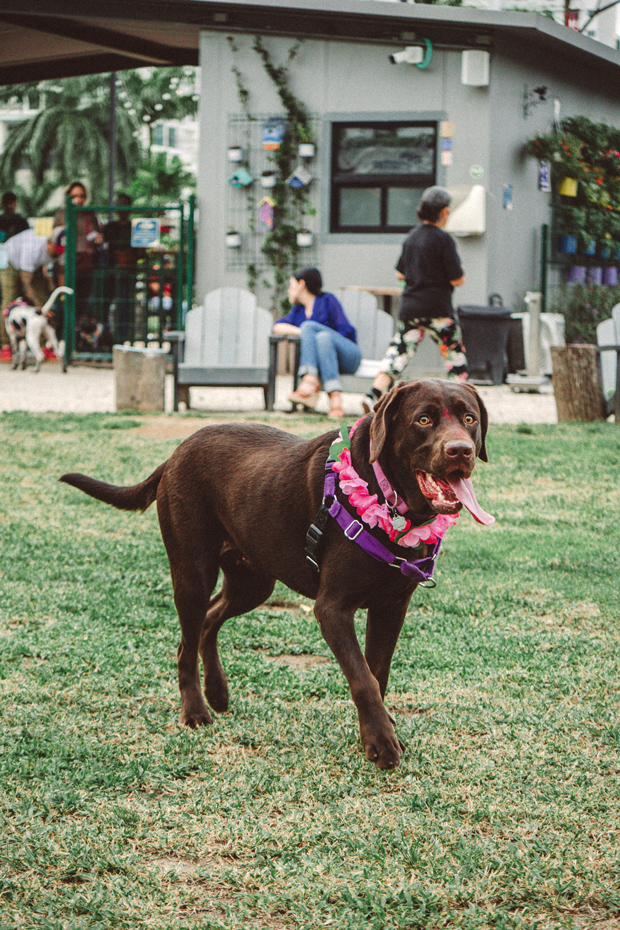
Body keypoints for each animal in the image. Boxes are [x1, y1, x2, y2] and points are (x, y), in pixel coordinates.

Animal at [60, 376, 492, 768]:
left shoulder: (392, 606)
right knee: (186, 640)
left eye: (469, 418)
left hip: (253, 581)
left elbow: (378, 673)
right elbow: (363, 678)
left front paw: (378, 730)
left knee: (209, 621)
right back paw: (196, 710)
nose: (460, 450)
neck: (388, 498)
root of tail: (175, 454)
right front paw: (381, 744)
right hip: (192, 571)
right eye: (424, 420)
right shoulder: (332, 609)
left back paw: (218, 693)